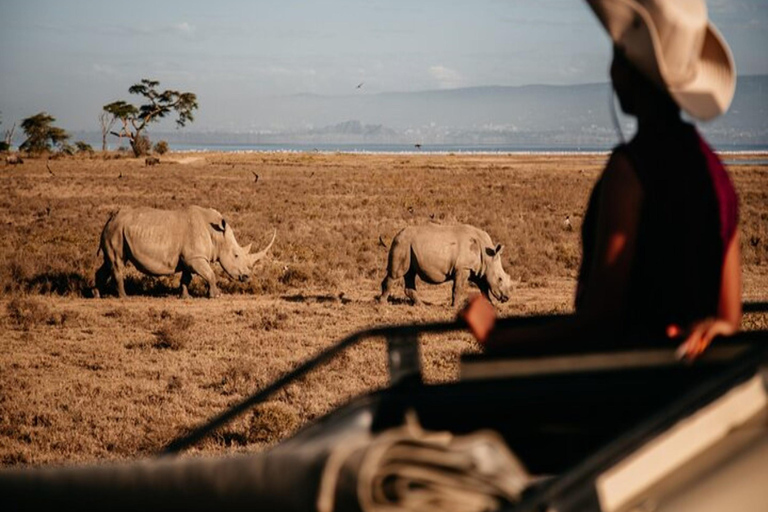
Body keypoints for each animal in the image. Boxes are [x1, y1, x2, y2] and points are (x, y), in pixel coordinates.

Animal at [95, 205, 276, 298]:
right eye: (236, 255)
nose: (246, 277)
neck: (217, 235)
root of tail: (110, 219)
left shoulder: (190, 258)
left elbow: (186, 278)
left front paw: (185, 296)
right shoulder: (195, 258)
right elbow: (210, 274)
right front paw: (215, 296)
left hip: (117, 230)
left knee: (109, 263)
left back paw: (96, 294)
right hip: (116, 230)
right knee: (117, 262)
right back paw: (124, 297)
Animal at [376, 223, 512, 304]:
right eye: (500, 279)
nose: (507, 297)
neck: (488, 257)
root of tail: (397, 234)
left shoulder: (478, 270)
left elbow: (484, 289)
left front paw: (491, 305)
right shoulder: (463, 268)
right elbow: (458, 288)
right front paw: (455, 307)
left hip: (408, 245)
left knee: (410, 273)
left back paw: (421, 305)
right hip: (402, 244)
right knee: (396, 273)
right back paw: (382, 304)